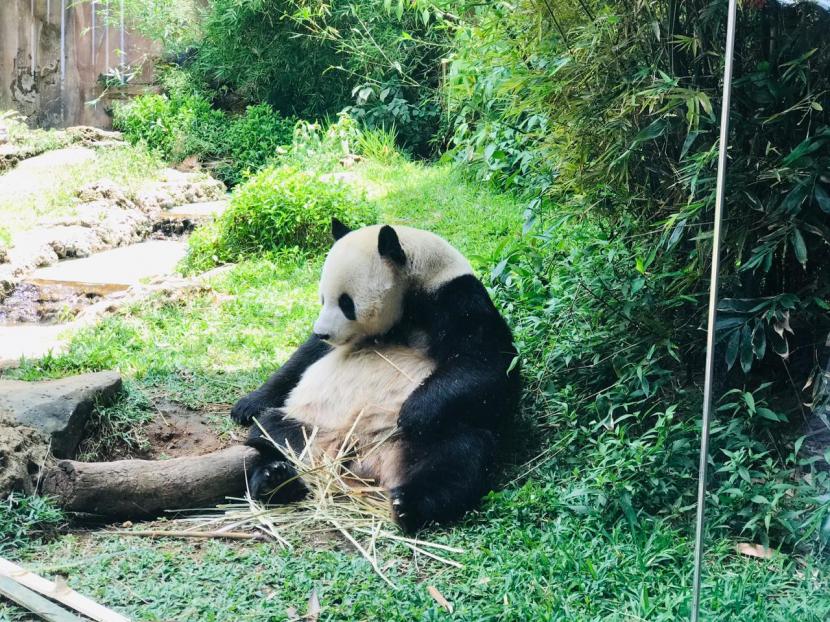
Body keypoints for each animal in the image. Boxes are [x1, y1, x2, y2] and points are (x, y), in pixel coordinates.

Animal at [231, 221, 524, 536]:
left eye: (345, 303)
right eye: (322, 298)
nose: (322, 331)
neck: (414, 294)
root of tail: (365, 465)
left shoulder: (457, 298)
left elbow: (488, 364)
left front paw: (413, 412)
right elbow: (302, 358)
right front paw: (247, 405)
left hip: (419, 441)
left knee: (457, 456)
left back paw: (408, 504)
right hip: (310, 428)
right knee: (272, 435)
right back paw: (274, 479)